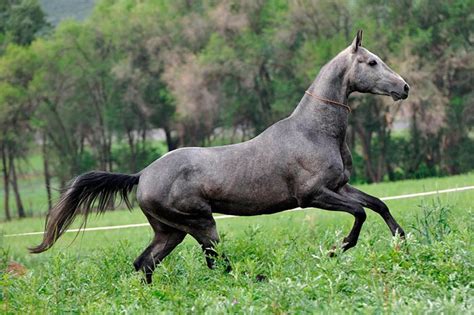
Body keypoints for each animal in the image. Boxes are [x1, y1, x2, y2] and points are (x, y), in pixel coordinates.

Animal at [30, 30, 408, 286]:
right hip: (201, 224)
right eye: (371, 62)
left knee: (145, 264)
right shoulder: (313, 195)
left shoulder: (340, 187)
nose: (403, 88)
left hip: (171, 232)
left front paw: (401, 241)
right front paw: (338, 248)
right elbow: (360, 213)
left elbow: (377, 204)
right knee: (215, 262)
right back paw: (253, 279)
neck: (315, 131)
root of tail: (142, 175)